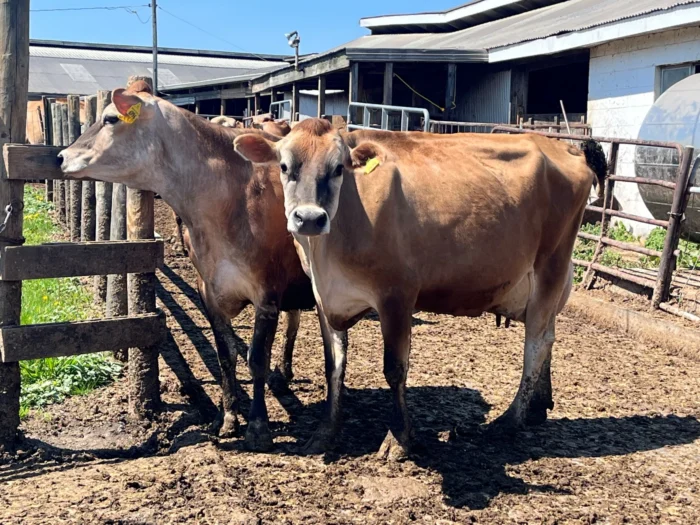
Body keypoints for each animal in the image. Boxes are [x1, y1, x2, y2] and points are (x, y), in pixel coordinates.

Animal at [57, 81, 316, 451]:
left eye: (109, 119)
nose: (61, 156)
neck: (226, 201)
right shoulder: (207, 289)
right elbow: (226, 356)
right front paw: (229, 418)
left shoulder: (266, 292)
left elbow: (255, 359)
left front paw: (258, 427)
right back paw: (284, 373)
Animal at [234, 119, 602, 459]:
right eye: (284, 166)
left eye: (338, 168)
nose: (309, 218)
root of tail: (561, 146)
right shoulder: (326, 298)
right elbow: (334, 367)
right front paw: (324, 434)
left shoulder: (396, 294)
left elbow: (395, 369)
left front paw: (398, 441)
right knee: (548, 334)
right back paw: (538, 407)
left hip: (550, 266)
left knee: (536, 344)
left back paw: (511, 419)